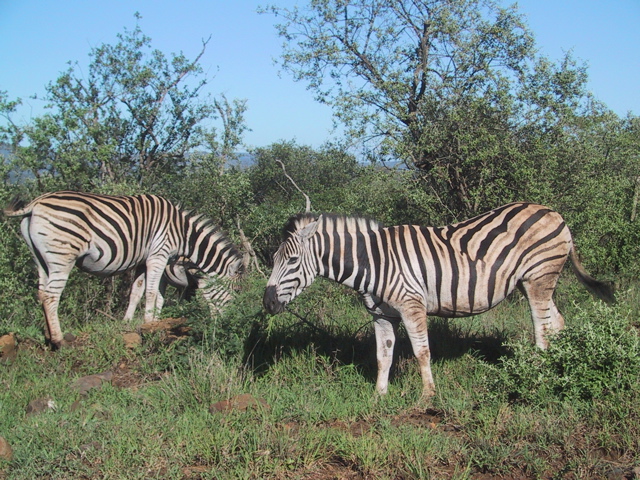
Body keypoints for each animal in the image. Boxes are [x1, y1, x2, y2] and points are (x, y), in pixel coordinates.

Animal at [4, 191, 244, 348]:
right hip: (62, 255)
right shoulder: (159, 254)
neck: (183, 233)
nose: (229, 320)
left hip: (40, 259)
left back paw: (47, 335)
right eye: (232, 292)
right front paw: (149, 324)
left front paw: (131, 323)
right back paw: (58, 340)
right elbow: (152, 292)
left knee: (41, 293)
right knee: (52, 295)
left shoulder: (144, 260)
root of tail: (36, 203)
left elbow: (138, 291)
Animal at [263, 203, 614, 400]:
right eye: (274, 259)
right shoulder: (381, 314)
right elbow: (383, 356)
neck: (373, 262)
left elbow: (422, 352)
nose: (266, 304)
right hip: (535, 282)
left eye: (291, 261)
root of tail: (553, 212)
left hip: (539, 277)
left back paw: (538, 376)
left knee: (542, 330)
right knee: (557, 323)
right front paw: (379, 396)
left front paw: (427, 397)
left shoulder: (412, 305)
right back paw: (559, 370)